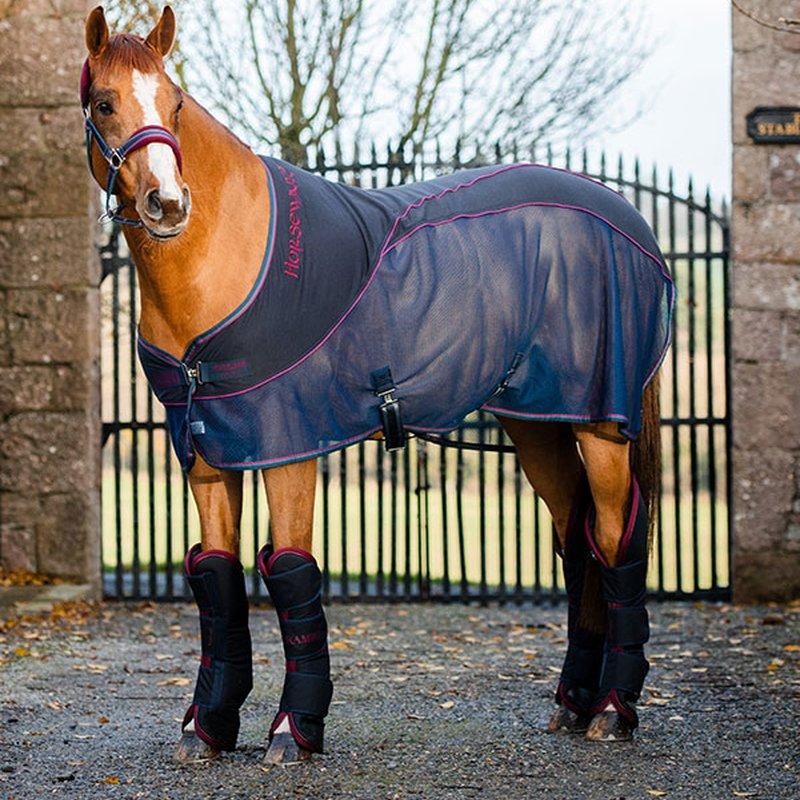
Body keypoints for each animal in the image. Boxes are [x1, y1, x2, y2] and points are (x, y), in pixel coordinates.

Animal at [81, 6, 673, 765]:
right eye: (105, 103)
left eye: (176, 104)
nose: (167, 203)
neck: (226, 257)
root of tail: (629, 221)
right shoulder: (207, 449)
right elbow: (217, 576)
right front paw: (207, 727)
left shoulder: (287, 442)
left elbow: (291, 570)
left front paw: (293, 730)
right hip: (537, 420)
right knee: (576, 540)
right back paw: (573, 702)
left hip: (600, 425)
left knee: (615, 538)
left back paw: (611, 710)